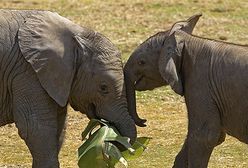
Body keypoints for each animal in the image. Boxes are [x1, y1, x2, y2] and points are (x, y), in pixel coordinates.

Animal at [0, 9, 138, 167]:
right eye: (103, 88)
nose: (109, 136)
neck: (76, 35)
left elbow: (59, 127)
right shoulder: (27, 73)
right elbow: (36, 128)